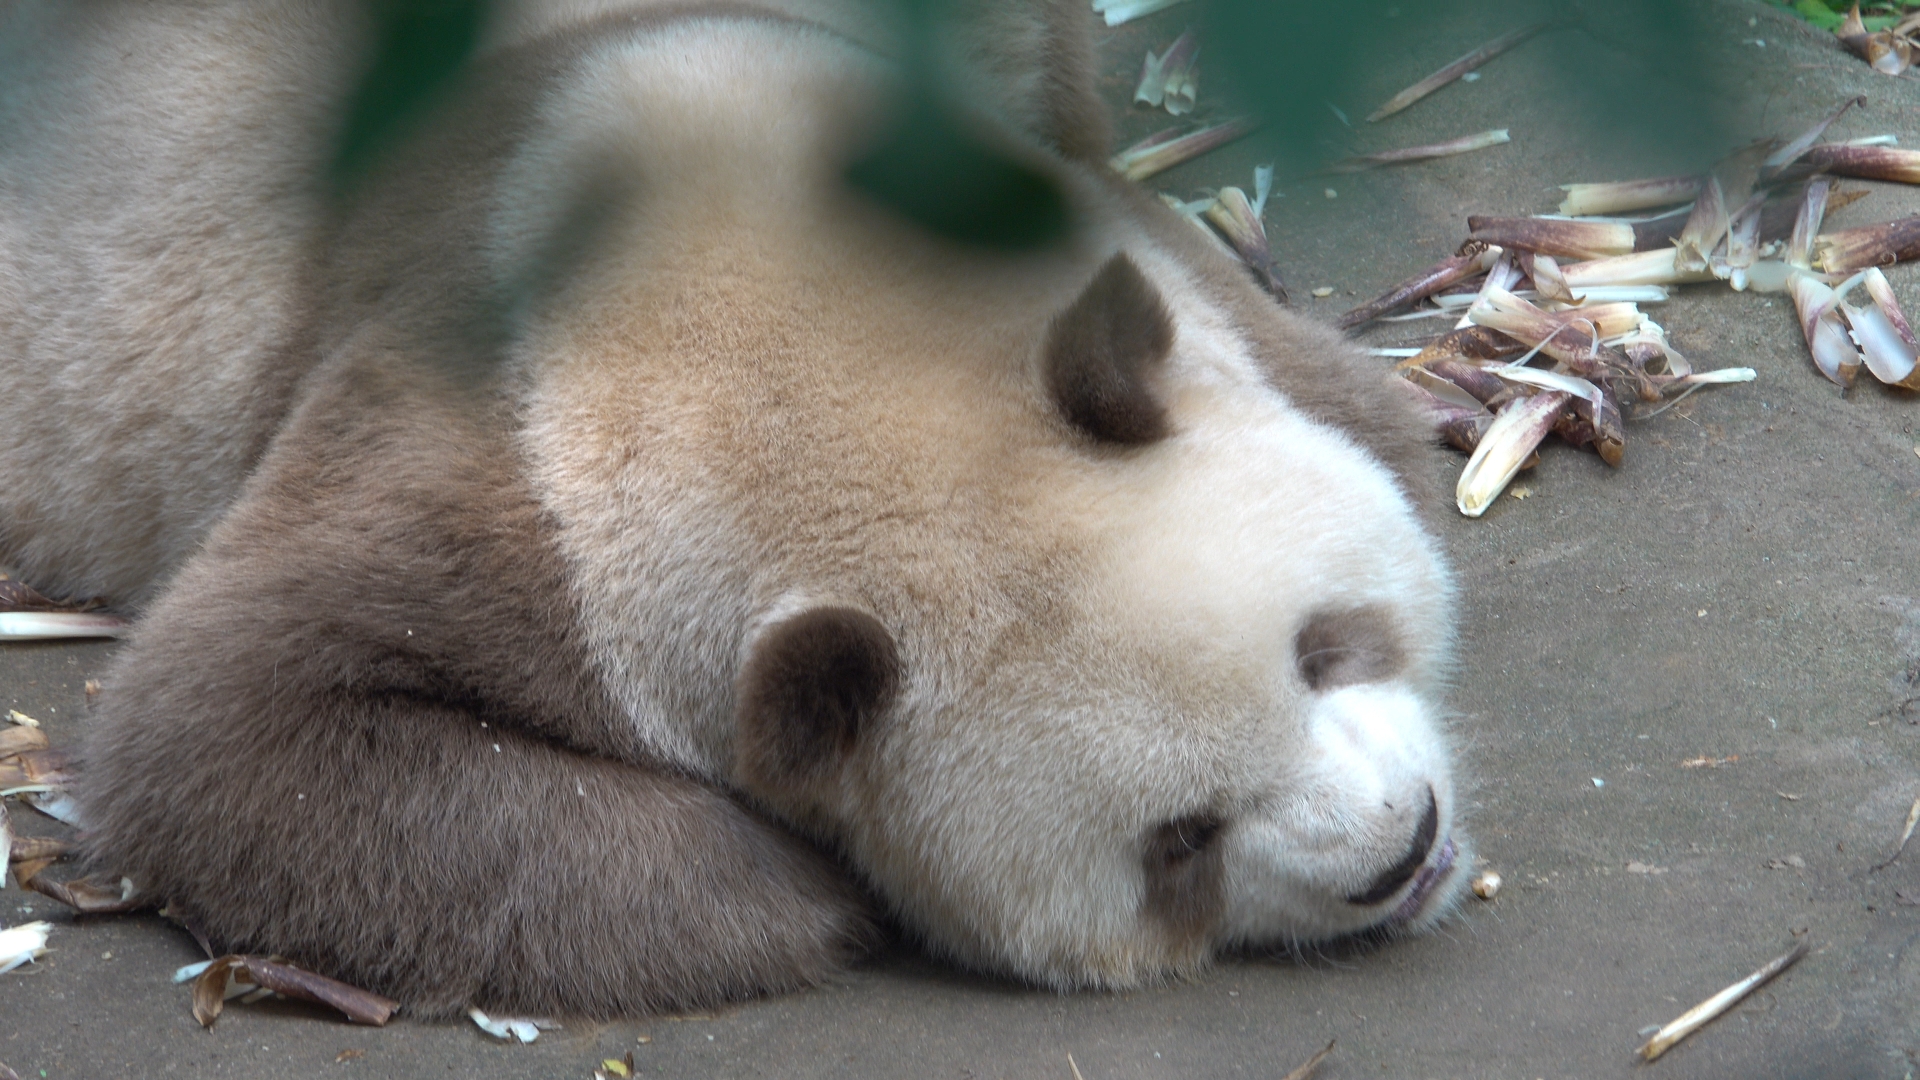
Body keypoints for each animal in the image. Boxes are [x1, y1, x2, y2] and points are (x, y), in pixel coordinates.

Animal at [0, 0, 1466, 1014]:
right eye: (1179, 843)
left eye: (1319, 647)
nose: (1401, 853)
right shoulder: (504, 463)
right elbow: (226, 731)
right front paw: (802, 895)